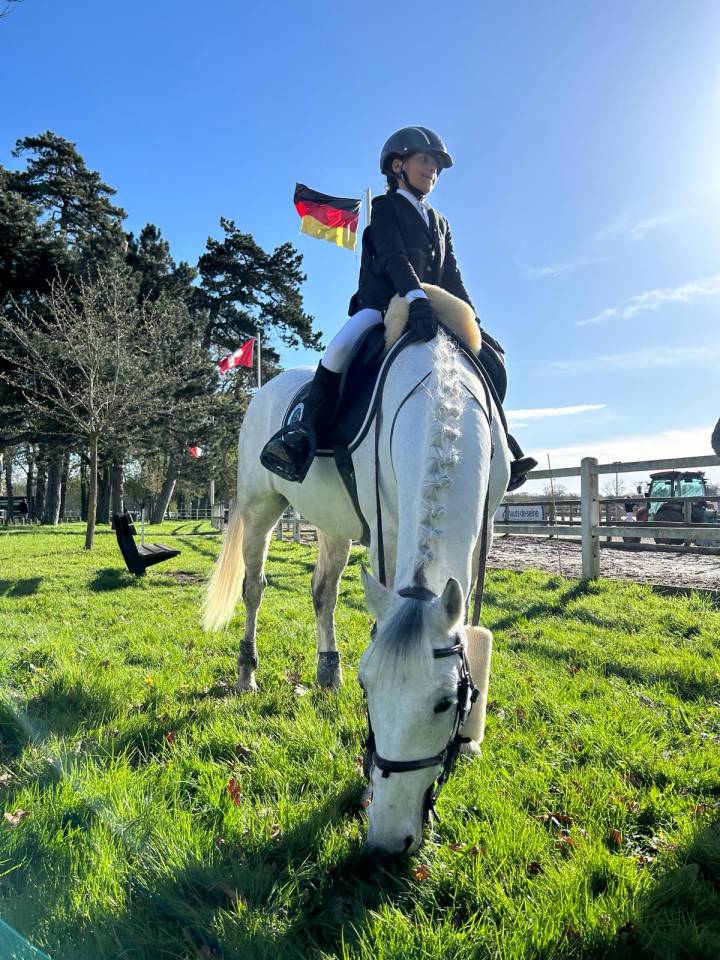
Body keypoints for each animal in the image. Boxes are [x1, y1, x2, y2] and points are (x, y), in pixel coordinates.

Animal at [203, 286, 511, 855]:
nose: (388, 839)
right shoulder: (387, 529)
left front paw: (470, 739)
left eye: (446, 703)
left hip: (334, 524)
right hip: (259, 507)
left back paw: (327, 670)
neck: (441, 394)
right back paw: (247, 673)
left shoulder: (487, 522)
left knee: (322, 593)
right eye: (370, 692)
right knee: (254, 589)